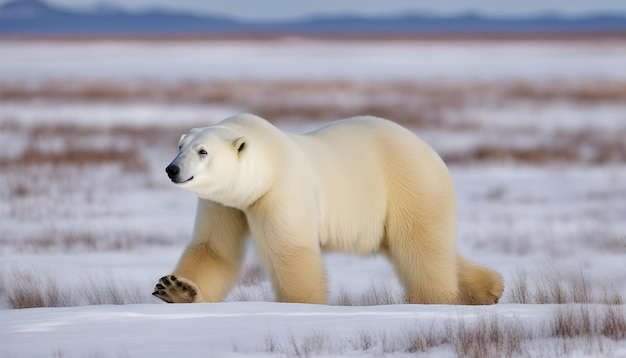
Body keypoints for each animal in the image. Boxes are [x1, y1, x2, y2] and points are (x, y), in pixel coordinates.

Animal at [155, 113, 502, 304]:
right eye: (180, 146)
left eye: (203, 151)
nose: (172, 169)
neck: (268, 163)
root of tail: (431, 152)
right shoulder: (224, 203)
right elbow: (213, 248)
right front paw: (175, 288)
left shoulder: (279, 192)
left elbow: (290, 251)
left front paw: (299, 303)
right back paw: (490, 288)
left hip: (408, 185)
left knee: (421, 246)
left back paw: (432, 299)